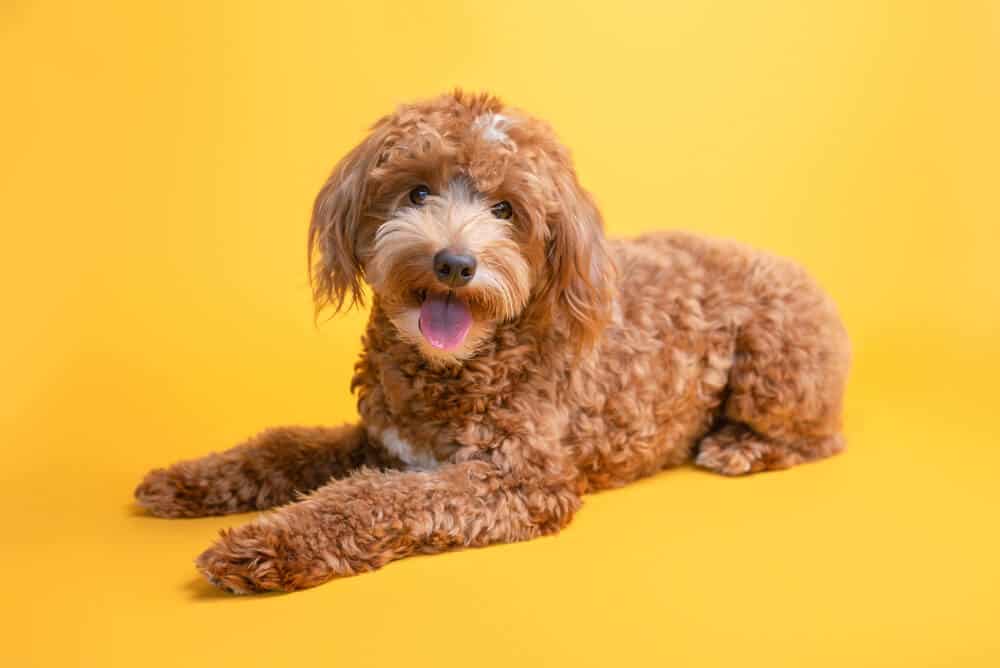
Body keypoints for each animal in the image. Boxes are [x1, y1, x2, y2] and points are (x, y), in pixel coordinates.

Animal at [135, 90, 852, 596]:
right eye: (418, 191)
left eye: (506, 210)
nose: (454, 263)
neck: (455, 365)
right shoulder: (381, 441)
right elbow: (281, 447)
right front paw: (186, 480)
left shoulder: (518, 480)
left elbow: (369, 497)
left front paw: (264, 547)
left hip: (774, 362)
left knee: (819, 439)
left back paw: (738, 447)